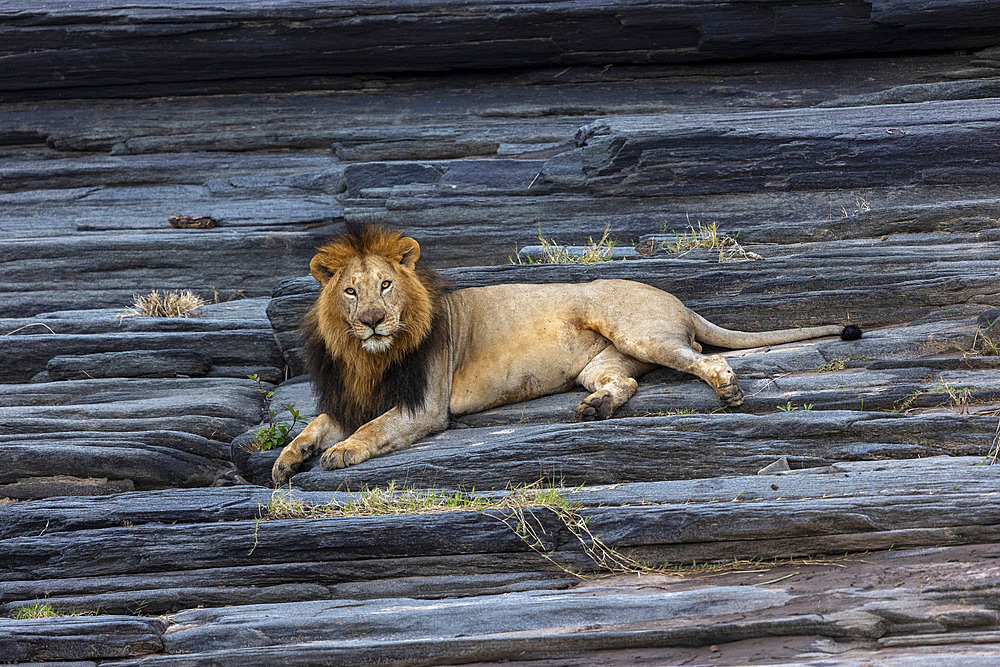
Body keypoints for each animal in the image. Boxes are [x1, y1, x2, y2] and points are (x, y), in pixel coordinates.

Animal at [270, 226, 864, 486]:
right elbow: (314, 425)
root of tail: (680, 302)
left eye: (387, 286)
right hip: (602, 363)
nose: (373, 320)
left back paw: (727, 390)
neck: (366, 355)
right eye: (351, 292)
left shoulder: (424, 405)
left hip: (636, 330)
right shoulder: (350, 397)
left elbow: (372, 429)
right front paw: (286, 461)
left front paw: (340, 453)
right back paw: (596, 409)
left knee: (702, 356)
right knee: (627, 382)